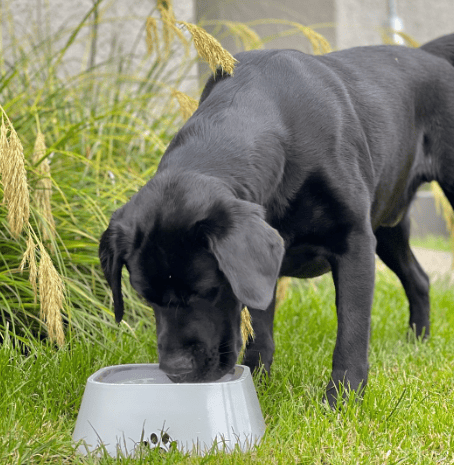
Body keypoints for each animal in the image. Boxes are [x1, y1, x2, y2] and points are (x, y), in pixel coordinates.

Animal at [100, 33, 454, 406]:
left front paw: (343, 398)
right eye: (145, 297)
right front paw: (258, 381)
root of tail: (426, 54)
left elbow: (352, 329)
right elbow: (260, 329)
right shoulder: (261, 269)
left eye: (208, 291)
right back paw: (417, 342)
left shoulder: (354, 240)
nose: (176, 371)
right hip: (387, 226)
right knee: (419, 279)